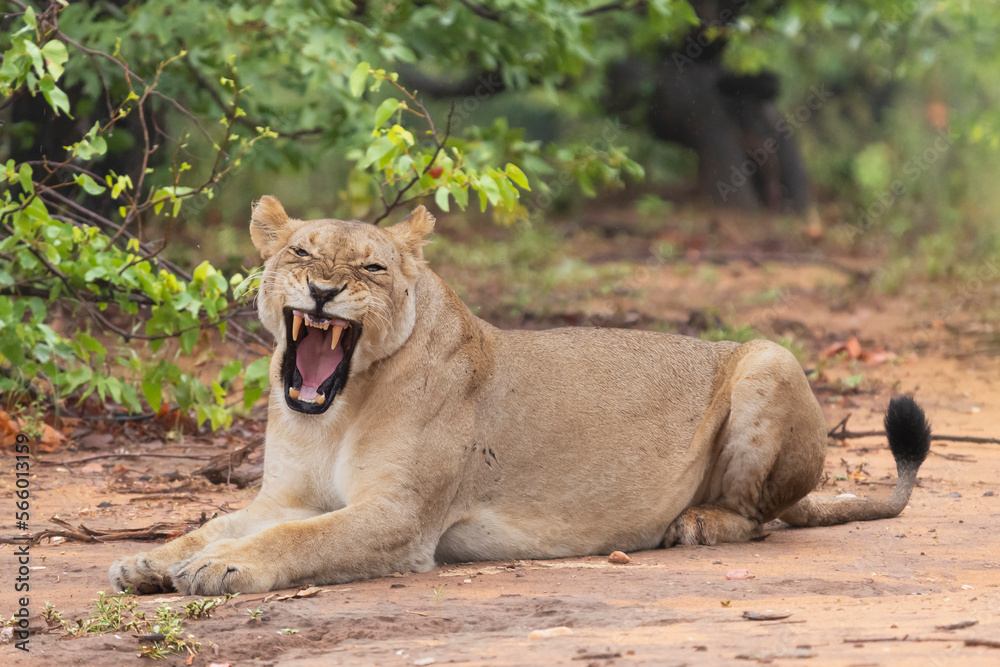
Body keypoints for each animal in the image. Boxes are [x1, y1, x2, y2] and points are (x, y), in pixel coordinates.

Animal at [109, 196, 931, 595]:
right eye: (301, 251)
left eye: (371, 267)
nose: (322, 290)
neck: (333, 409)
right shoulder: (282, 496)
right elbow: (213, 523)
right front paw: (149, 561)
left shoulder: (400, 519)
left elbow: (295, 540)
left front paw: (223, 570)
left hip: (770, 357)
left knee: (761, 518)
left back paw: (696, 523)